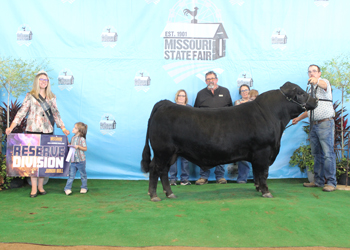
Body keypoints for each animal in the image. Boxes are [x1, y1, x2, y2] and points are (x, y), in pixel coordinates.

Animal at [142, 82, 318, 201]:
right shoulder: (263, 151)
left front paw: (258, 188)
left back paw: (169, 194)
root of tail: (165, 103)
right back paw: (154, 195)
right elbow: (263, 173)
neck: (273, 116)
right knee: (155, 169)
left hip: (170, 153)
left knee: (163, 171)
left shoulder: (257, 154)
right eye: (301, 93)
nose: (316, 101)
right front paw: (266, 192)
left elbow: (257, 173)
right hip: (162, 151)